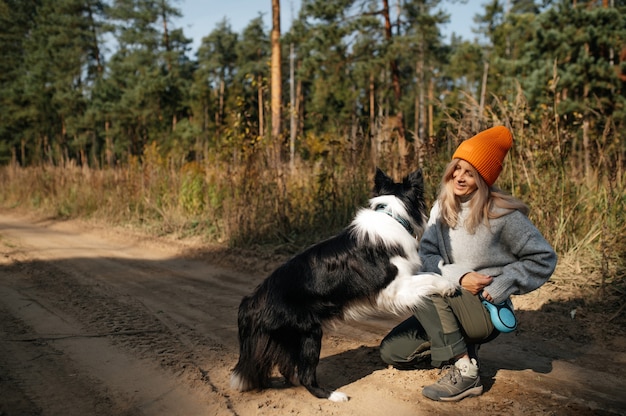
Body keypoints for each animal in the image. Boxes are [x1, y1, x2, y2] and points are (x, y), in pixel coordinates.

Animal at [229, 167, 454, 402]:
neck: (392, 214)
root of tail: (252, 300)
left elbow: (428, 273)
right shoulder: (394, 288)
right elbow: (430, 277)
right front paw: (448, 286)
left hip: (290, 337)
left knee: (288, 368)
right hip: (309, 333)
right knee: (306, 376)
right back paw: (334, 395)